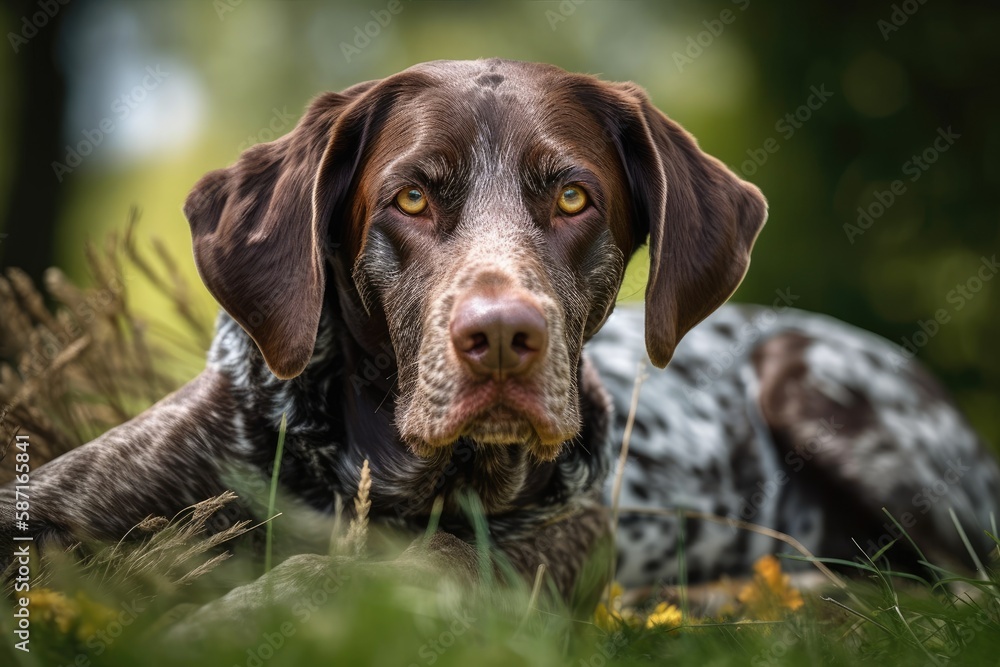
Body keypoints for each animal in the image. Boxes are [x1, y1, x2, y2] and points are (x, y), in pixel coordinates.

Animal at [2, 59, 997, 602]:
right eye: (410, 197)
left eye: (573, 197)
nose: (503, 337)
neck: (374, 468)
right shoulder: (59, 500)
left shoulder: (537, 552)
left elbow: (373, 569)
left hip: (824, 389)